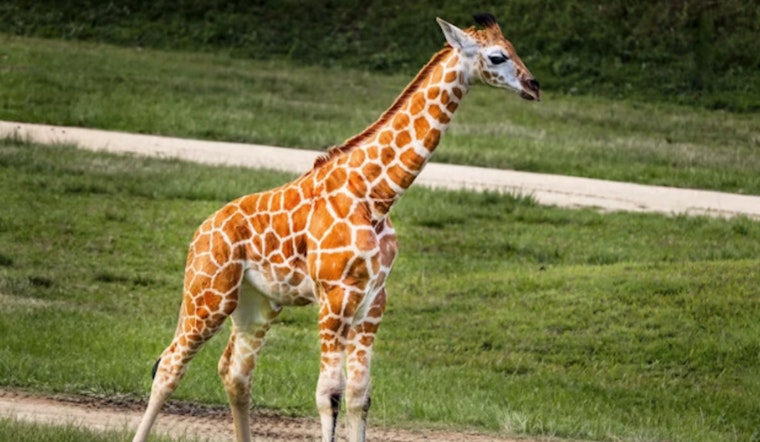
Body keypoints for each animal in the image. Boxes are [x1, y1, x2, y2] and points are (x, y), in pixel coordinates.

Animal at [132, 12, 539, 442]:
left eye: (513, 48)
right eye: (496, 56)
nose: (534, 85)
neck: (375, 196)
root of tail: (199, 232)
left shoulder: (372, 301)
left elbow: (360, 394)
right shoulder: (335, 296)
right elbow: (329, 393)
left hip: (256, 303)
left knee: (236, 373)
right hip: (209, 292)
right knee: (170, 364)